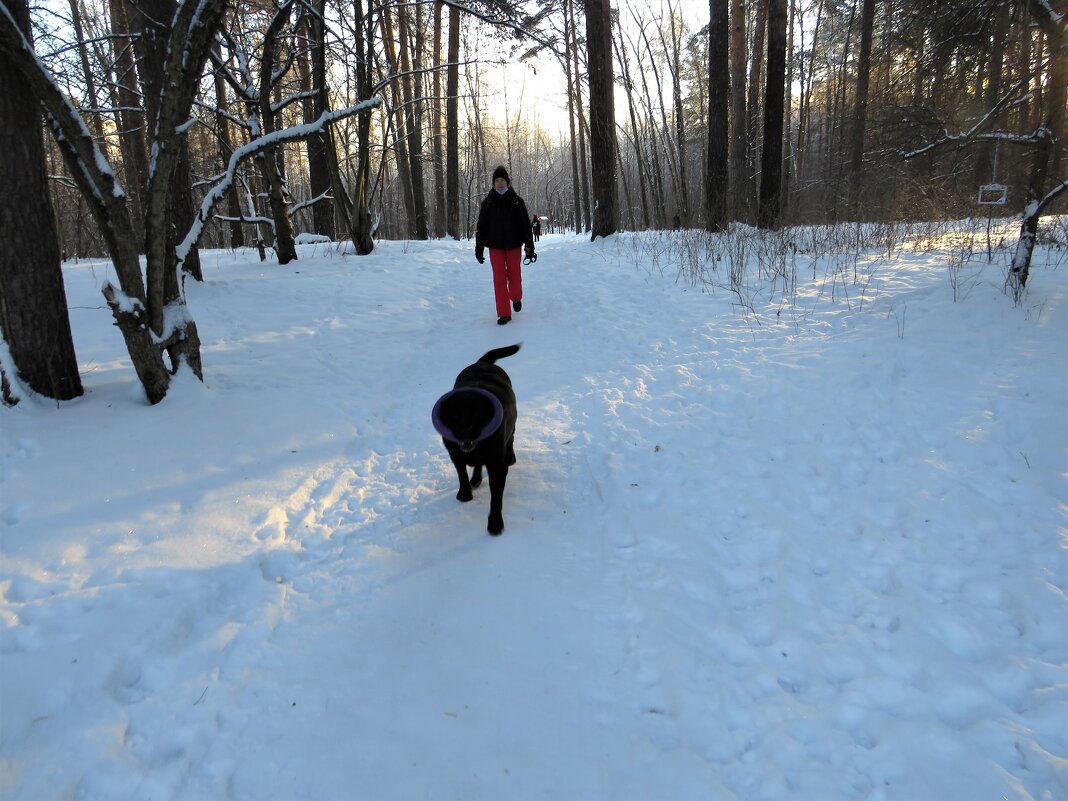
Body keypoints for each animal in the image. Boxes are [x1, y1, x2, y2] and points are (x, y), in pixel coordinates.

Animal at [431, 343, 519, 536]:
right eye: (454, 416)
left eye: (477, 415)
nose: (466, 435)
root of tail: (483, 362)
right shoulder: (455, 454)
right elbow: (462, 474)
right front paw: (465, 493)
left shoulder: (497, 466)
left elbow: (496, 498)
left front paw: (495, 523)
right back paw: (476, 479)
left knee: (511, 438)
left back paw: (510, 456)